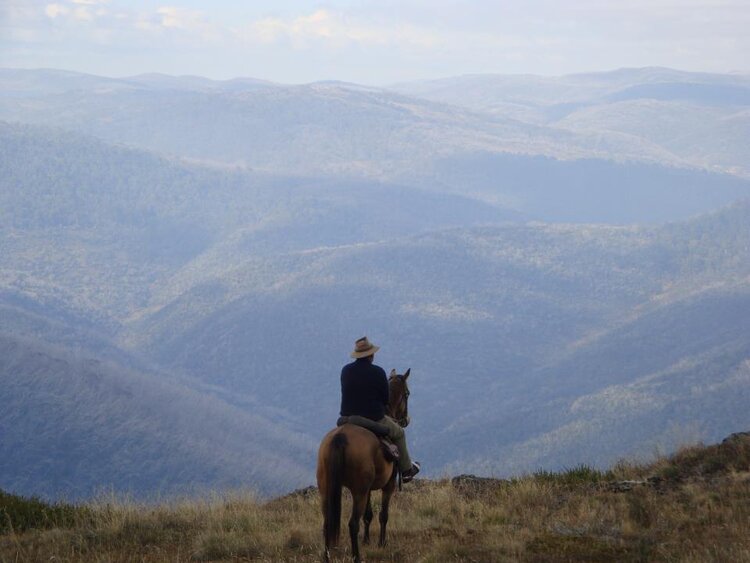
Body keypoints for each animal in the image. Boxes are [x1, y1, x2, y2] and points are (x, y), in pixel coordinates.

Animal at [316, 370, 414, 563]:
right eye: (407, 394)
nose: (405, 420)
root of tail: (340, 436)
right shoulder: (389, 484)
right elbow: (383, 515)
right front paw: (382, 543)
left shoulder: (368, 488)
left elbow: (368, 515)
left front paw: (367, 540)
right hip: (358, 491)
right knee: (352, 523)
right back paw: (357, 557)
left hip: (326, 488)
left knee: (327, 523)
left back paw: (327, 557)